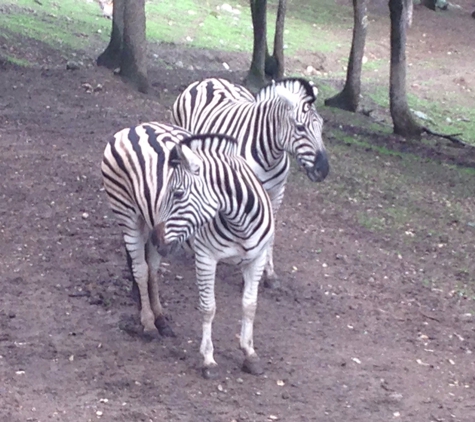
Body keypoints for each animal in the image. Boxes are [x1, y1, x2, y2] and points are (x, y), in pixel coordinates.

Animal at [103, 123, 276, 378]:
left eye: (177, 194)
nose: (156, 237)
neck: (240, 223)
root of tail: (136, 127)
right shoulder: (206, 257)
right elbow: (208, 308)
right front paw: (208, 359)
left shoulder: (257, 258)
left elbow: (249, 306)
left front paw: (249, 354)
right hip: (127, 215)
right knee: (140, 270)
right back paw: (148, 324)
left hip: (149, 223)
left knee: (152, 269)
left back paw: (161, 321)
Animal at [172, 78, 330, 290]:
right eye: (300, 128)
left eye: (321, 126)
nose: (323, 169)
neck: (270, 155)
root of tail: (209, 80)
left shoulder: (277, 193)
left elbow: (271, 234)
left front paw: (269, 274)